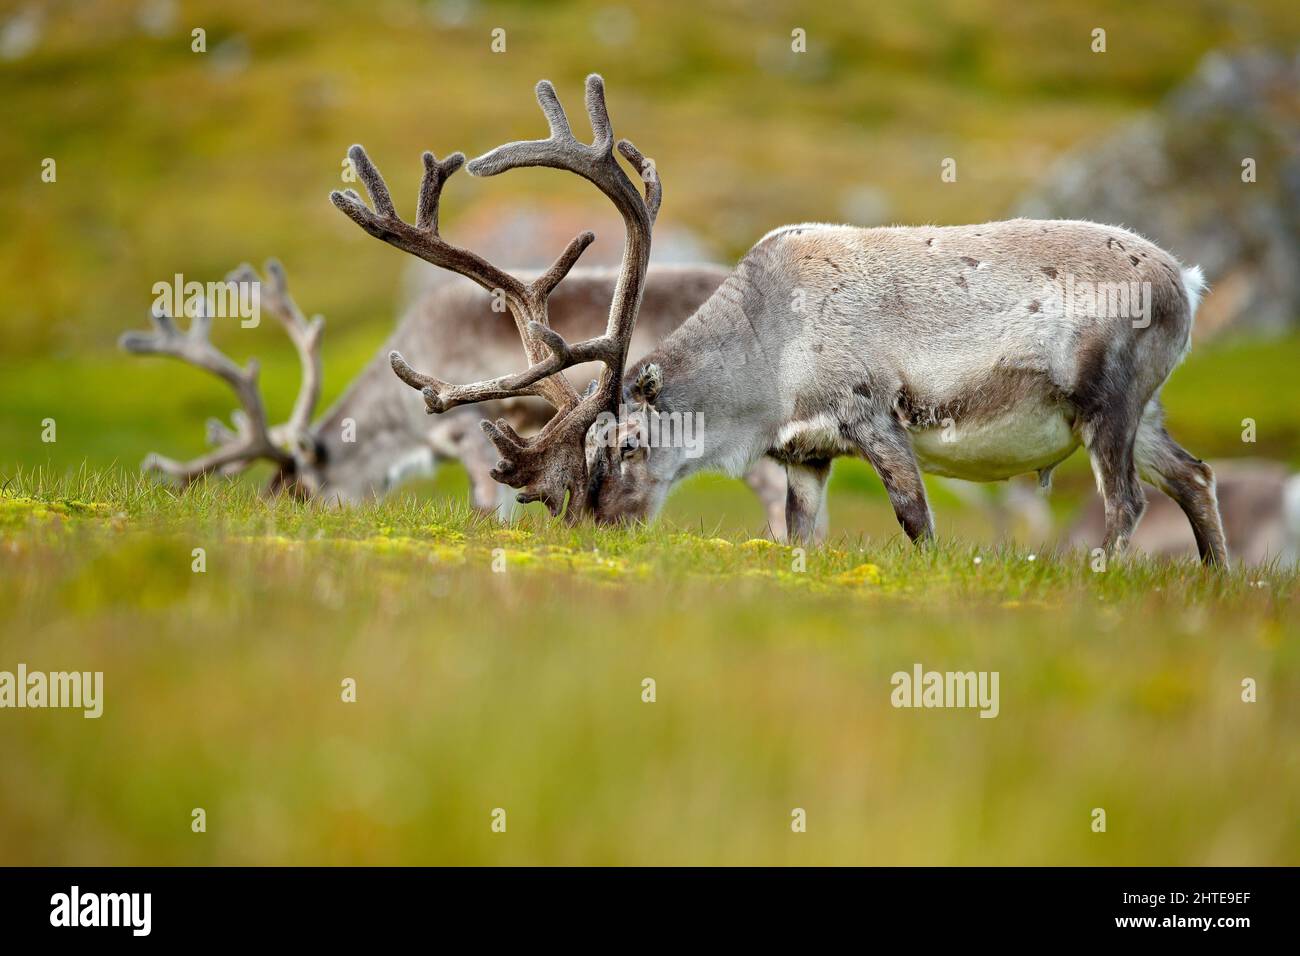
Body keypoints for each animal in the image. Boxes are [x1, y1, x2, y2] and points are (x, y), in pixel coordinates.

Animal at [333, 74, 1227, 566]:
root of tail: (1187, 280)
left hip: (1108, 404)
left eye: (624, 448)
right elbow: (803, 538)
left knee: (1127, 503)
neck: (765, 361)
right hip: (1142, 410)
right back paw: (1214, 584)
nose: (605, 529)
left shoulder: (872, 413)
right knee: (1194, 476)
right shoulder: (804, 455)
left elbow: (917, 522)